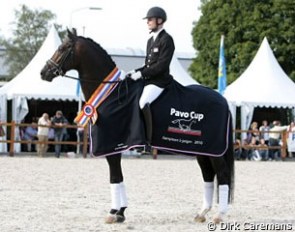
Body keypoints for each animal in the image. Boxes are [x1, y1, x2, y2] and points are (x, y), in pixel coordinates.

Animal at [40, 29, 235, 223]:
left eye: (62, 48)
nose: (44, 73)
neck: (110, 94)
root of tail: (224, 101)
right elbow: (119, 178)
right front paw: (121, 212)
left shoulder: (112, 145)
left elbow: (115, 176)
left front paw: (113, 212)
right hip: (203, 151)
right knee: (208, 176)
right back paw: (202, 213)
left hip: (215, 151)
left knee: (223, 174)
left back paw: (219, 215)